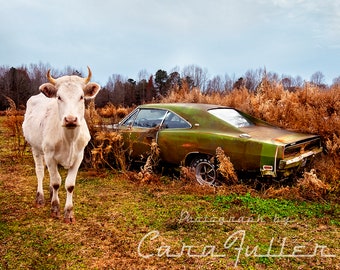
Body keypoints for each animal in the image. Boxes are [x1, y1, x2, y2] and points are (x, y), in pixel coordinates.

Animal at [21, 68, 99, 224]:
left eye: (81, 97)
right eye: (59, 97)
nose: (70, 119)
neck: (69, 139)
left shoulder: (78, 157)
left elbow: (69, 185)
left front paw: (68, 213)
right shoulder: (50, 156)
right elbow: (57, 182)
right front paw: (55, 208)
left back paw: (51, 194)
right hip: (36, 148)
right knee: (40, 172)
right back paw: (40, 198)